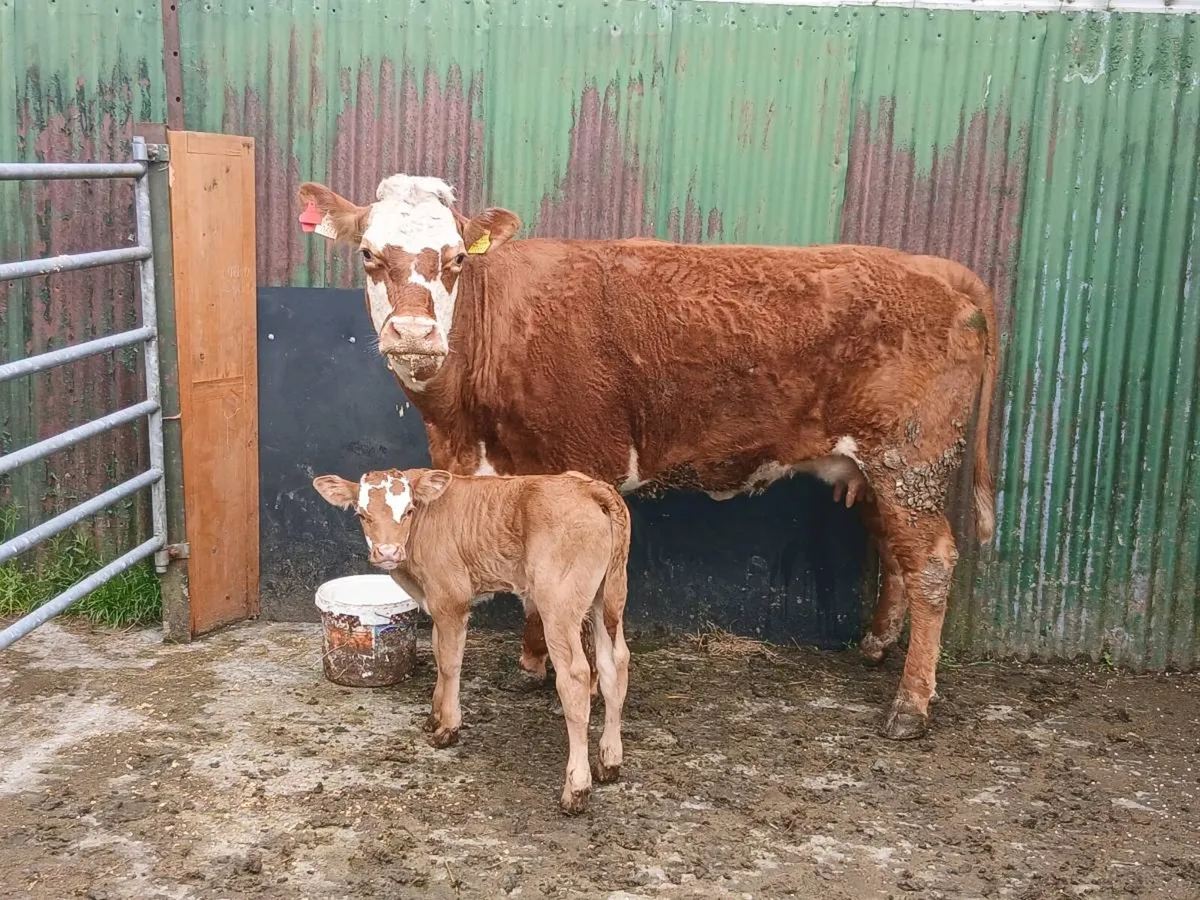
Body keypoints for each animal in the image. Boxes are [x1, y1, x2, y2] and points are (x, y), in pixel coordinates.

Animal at [297, 173, 998, 740]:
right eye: (368, 254)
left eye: (454, 259)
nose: (414, 333)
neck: (463, 423)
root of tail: (937, 268)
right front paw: (531, 664)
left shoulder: (580, 462)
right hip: (881, 470)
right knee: (895, 552)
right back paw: (877, 647)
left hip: (911, 458)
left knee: (932, 561)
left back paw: (910, 705)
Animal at [313, 467, 632, 814]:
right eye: (362, 514)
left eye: (408, 510)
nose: (388, 552)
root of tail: (588, 486)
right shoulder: (435, 603)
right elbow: (439, 655)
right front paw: (434, 715)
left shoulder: (451, 597)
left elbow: (451, 664)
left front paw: (448, 728)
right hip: (605, 596)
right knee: (615, 663)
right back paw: (609, 762)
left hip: (558, 603)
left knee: (575, 677)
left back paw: (577, 788)